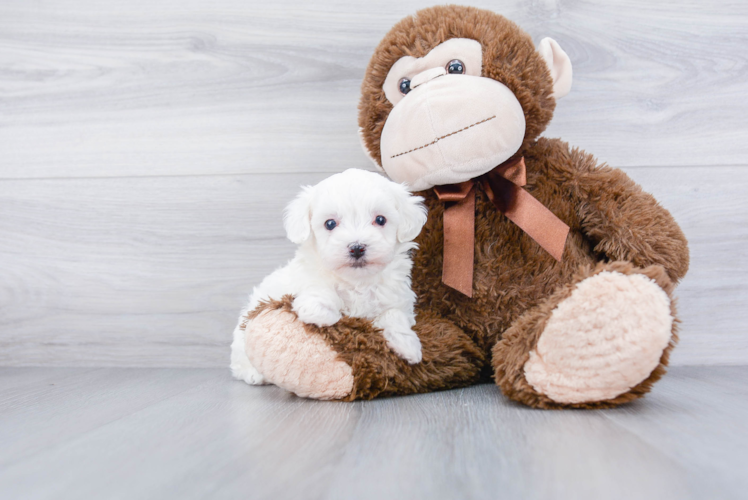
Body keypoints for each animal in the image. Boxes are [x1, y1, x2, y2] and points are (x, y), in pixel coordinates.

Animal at [229, 170, 426, 384]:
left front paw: (407, 345)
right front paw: (327, 314)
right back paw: (253, 373)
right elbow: (319, 295)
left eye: (380, 220)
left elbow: (394, 314)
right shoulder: (308, 284)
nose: (357, 247)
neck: (357, 282)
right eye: (330, 224)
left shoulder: (398, 299)